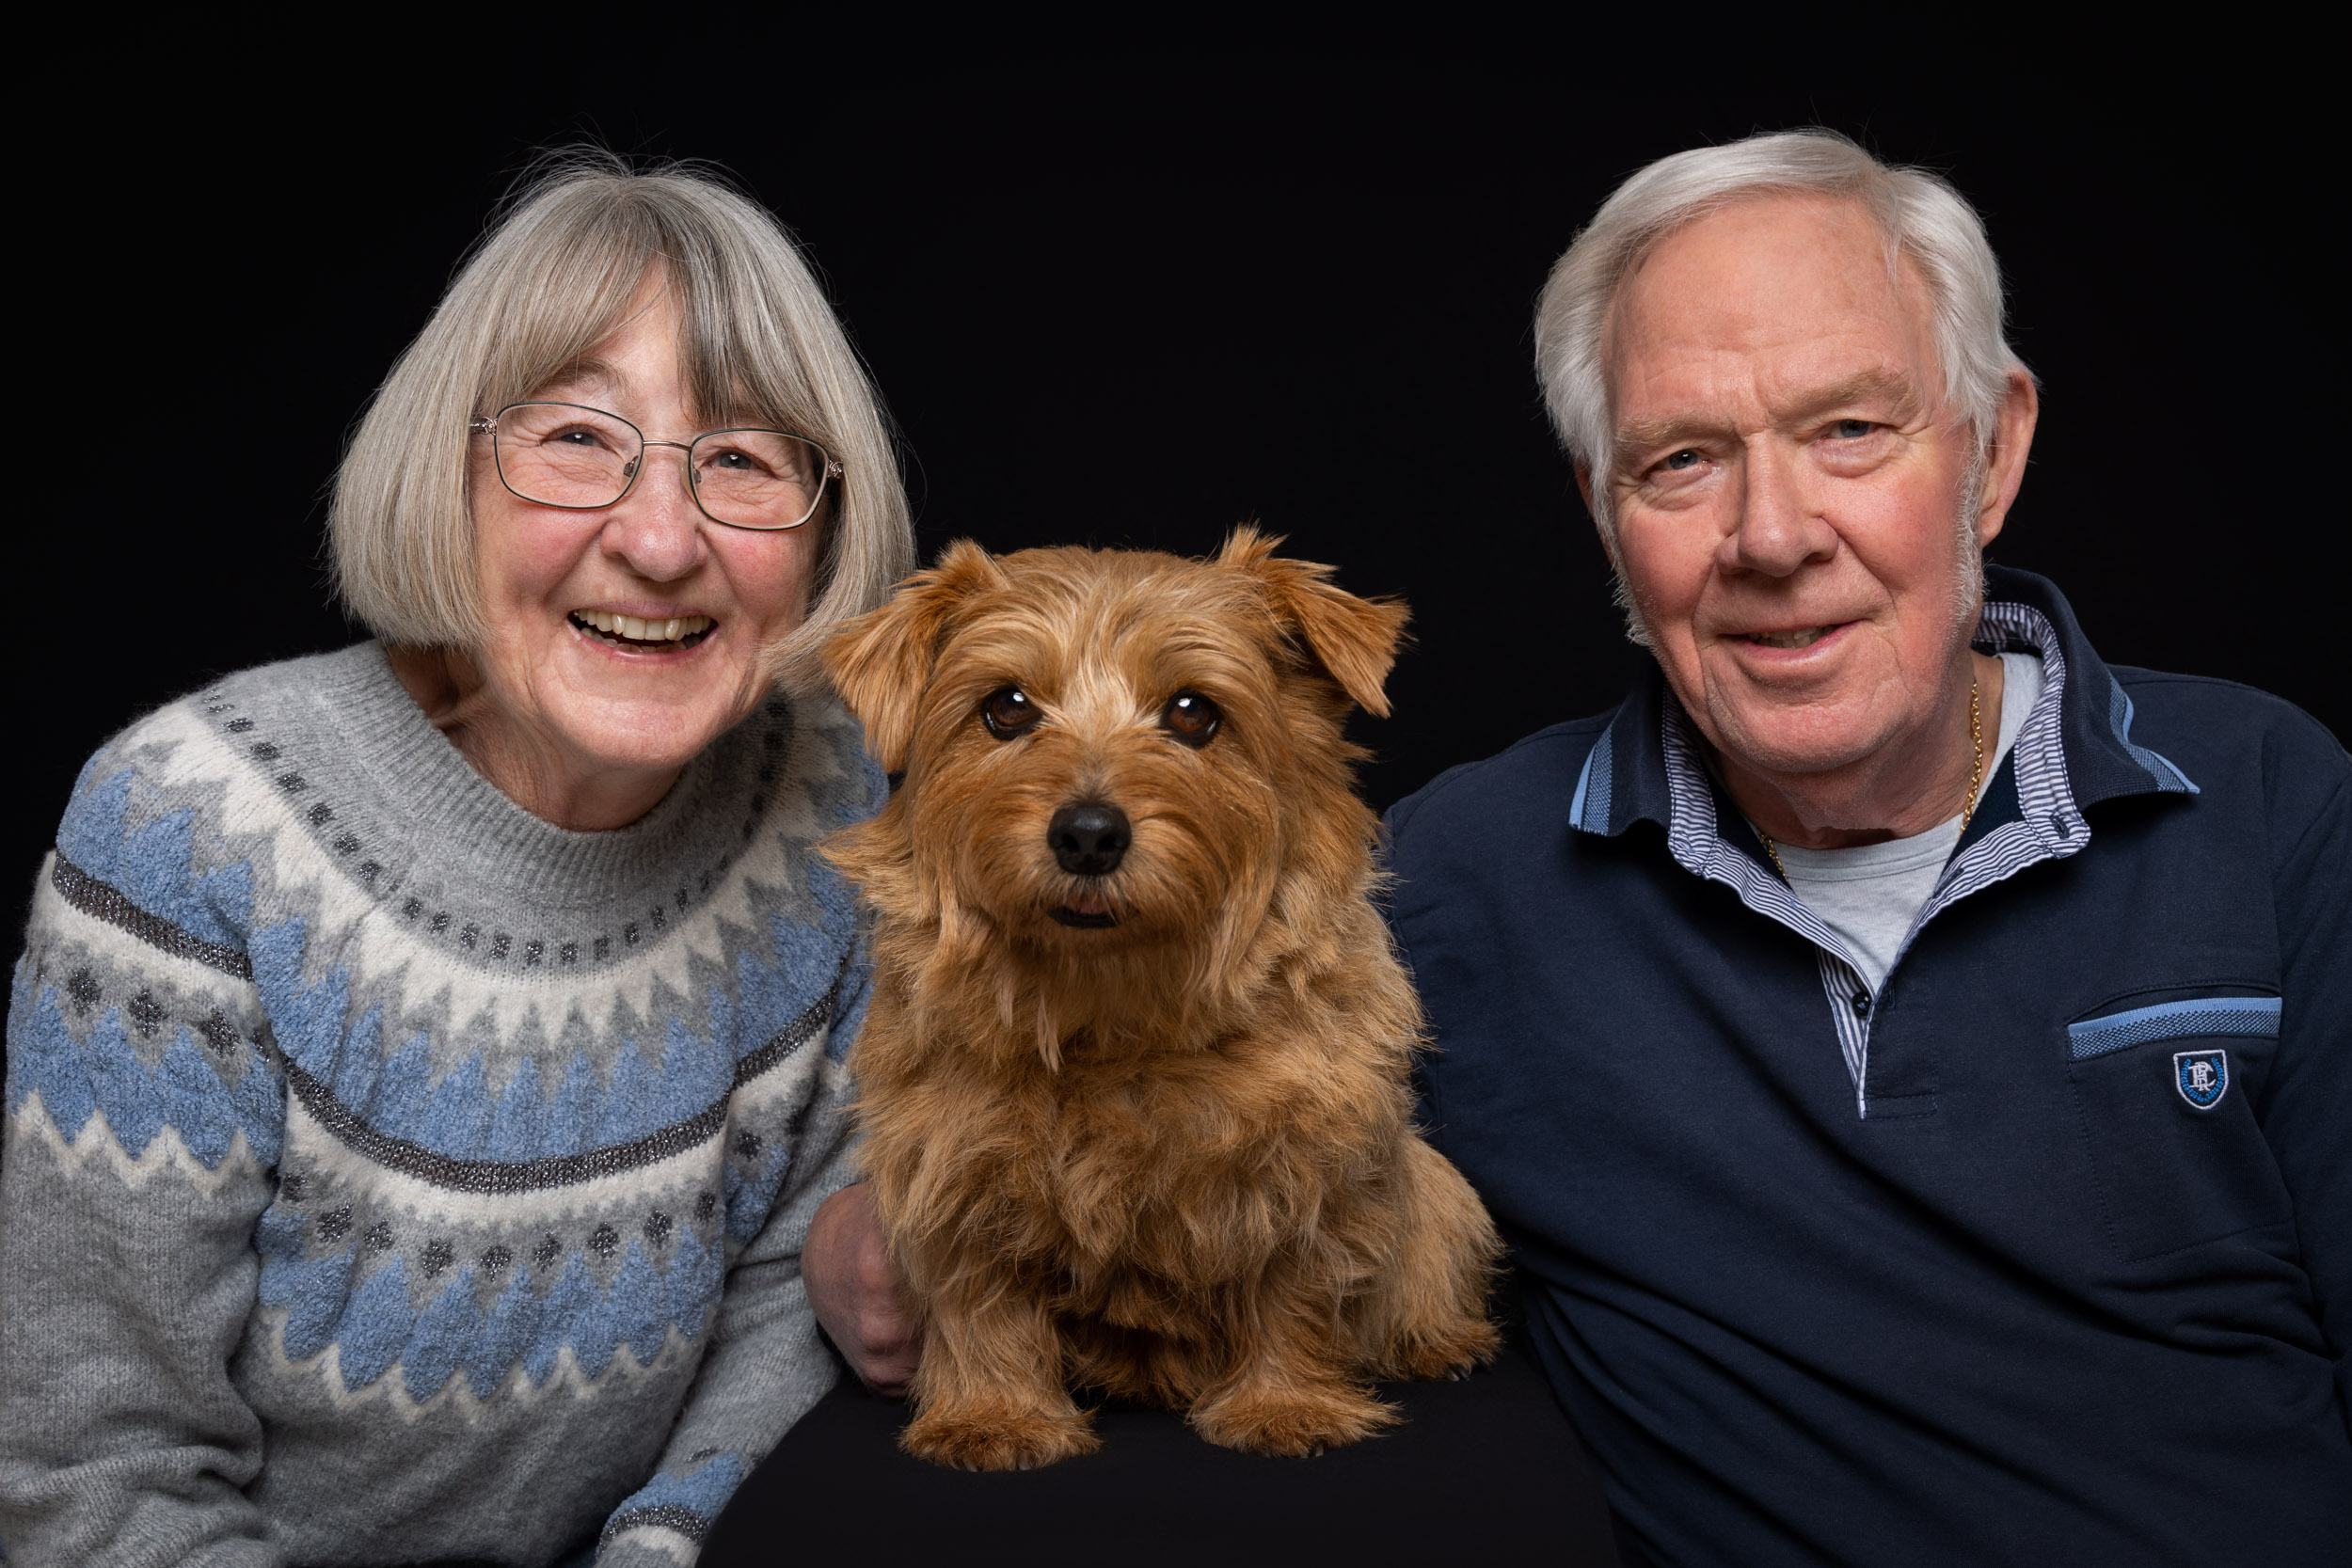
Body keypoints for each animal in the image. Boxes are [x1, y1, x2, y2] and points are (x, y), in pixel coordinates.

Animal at [818, 531, 1496, 1476]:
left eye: (1193, 712)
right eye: (1007, 708)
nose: (1088, 833)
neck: (1114, 1010)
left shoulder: (1311, 1160)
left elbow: (1293, 1283)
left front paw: (1286, 1403)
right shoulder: (951, 1164)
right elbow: (980, 1300)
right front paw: (995, 1417)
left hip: (1434, 1183)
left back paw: (1439, 1339)